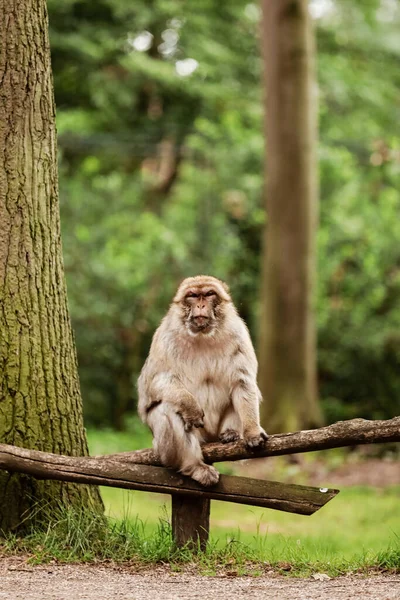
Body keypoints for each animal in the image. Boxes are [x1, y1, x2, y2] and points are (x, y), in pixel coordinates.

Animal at [138, 276, 268, 488]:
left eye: (209, 294)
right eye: (192, 295)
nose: (200, 305)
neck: (202, 336)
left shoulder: (239, 335)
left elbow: (243, 382)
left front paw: (252, 431)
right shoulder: (164, 337)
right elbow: (156, 382)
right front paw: (190, 406)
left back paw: (231, 433)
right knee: (167, 408)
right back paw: (195, 466)